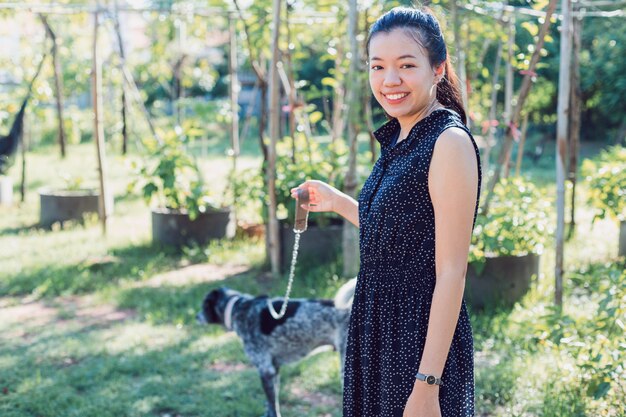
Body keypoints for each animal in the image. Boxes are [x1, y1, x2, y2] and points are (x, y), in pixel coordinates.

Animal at [197, 276, 354, 416]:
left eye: (204, 304)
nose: (196, 317)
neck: (240, 309)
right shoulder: (275, 369)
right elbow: (272, 402)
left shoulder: (265, 370)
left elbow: (272, 406)